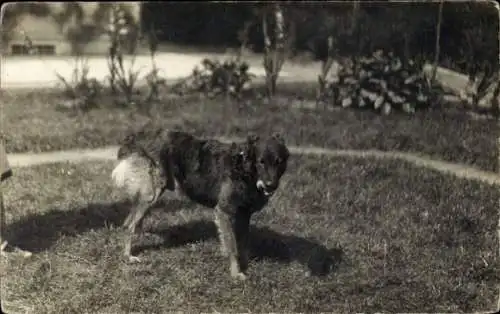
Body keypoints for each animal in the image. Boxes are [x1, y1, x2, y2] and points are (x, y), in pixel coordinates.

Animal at [109, 126, 290, 280]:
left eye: (278, 161)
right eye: (261, 161)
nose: (270, 185)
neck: (244, 169)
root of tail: (136, 137)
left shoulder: (245, 215)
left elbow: (242, 244)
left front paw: (244, 266)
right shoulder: (224, 211)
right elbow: (232, 246)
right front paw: (235, 273)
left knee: (131, 221)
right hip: (152, 194)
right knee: (129, 224)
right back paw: (128, 256)